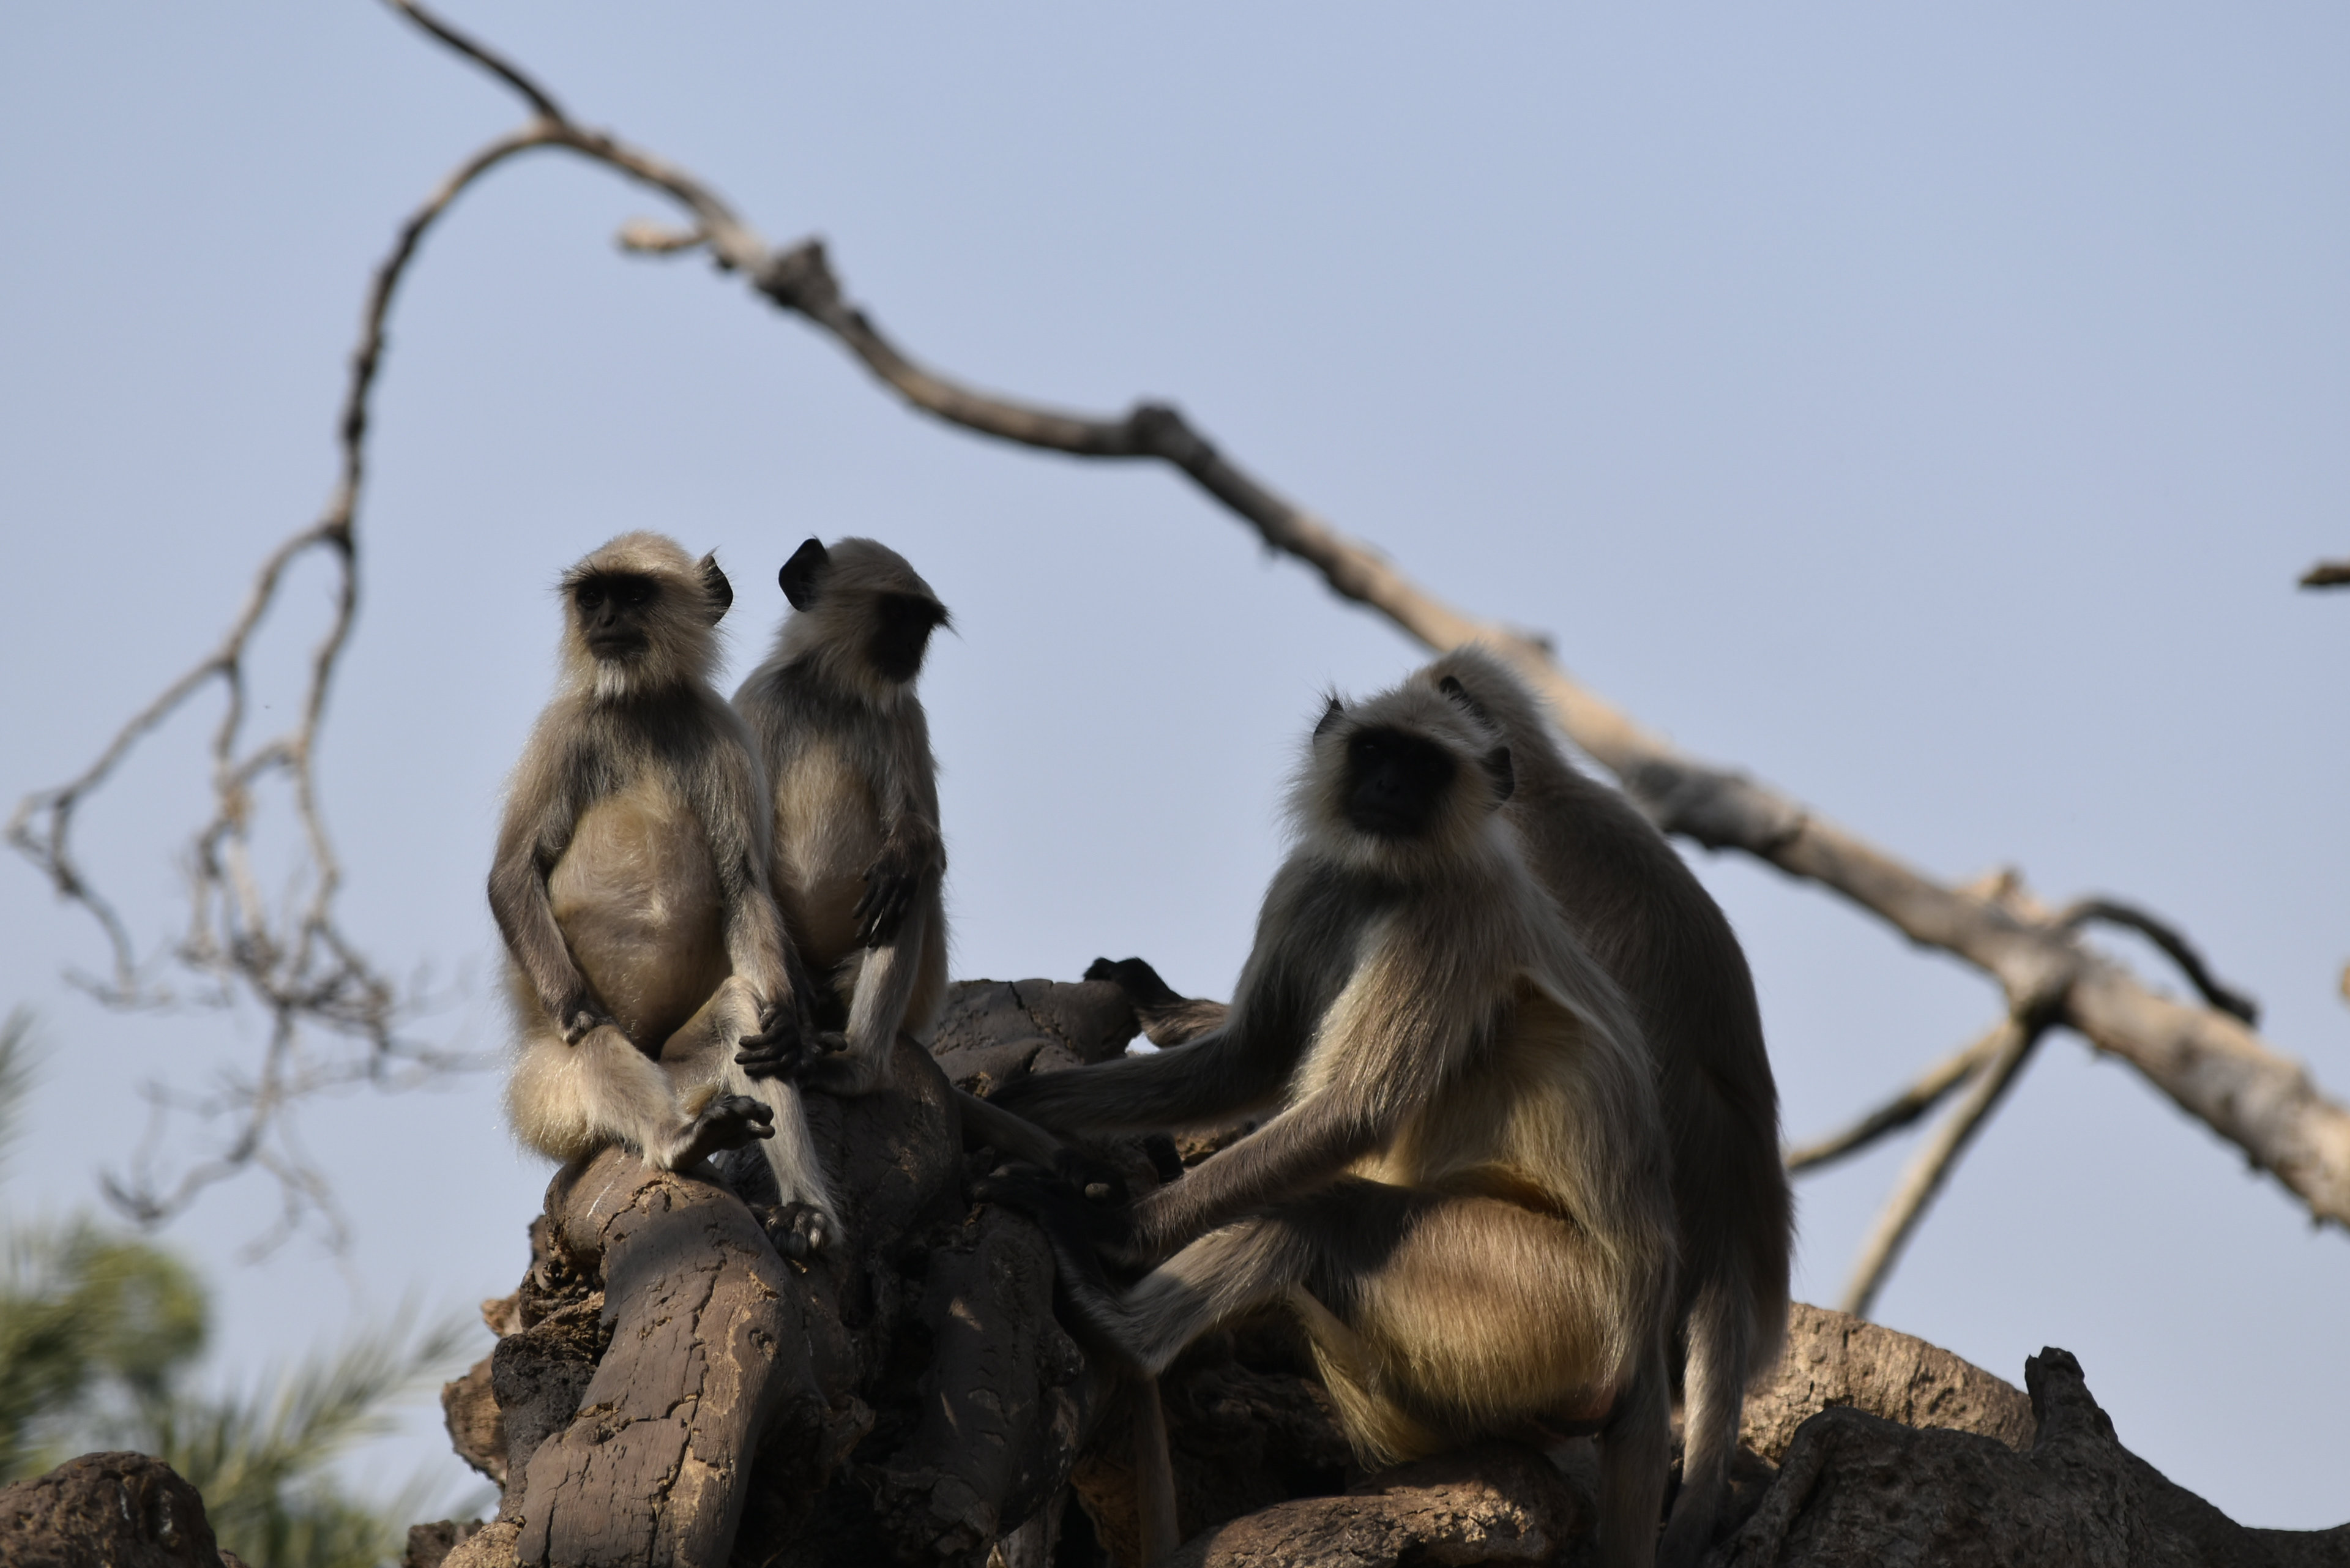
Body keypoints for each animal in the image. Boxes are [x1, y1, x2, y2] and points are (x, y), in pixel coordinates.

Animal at [489, 531, 840, 1252]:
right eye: (593, 596)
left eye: (633, 595)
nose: (603, 620)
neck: (641, 705)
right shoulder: (565, 728)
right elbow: (510, 874)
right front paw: (575, 1007)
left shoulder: (720, 731)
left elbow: (745, 886)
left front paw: (793, 1027)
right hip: (549, 1102)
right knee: (596, 1047)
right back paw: (678, 1140)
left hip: (684, 1073)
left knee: (740, 1011)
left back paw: (802, 1207)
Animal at [729, 536, 950, 1098]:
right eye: (897, 614)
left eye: (922, 621)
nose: (913, 648)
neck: (833, 691)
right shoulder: (758, 704)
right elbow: (746, 867)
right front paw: (790, 1022)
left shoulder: (904, 715)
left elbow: (926, 845)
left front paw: (908, 852)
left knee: (908, 888)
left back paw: (857, 1067)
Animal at [1087, 650, 1793, 1567]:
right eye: (1376, 750)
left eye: (1424, 764)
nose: (1389, 784)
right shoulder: (1318, 878)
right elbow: (1255, 1057)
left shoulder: (1464, 899)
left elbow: (1348, 1110)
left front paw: (1125, 1227)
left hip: (1547, 1306)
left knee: (1316, 1213)